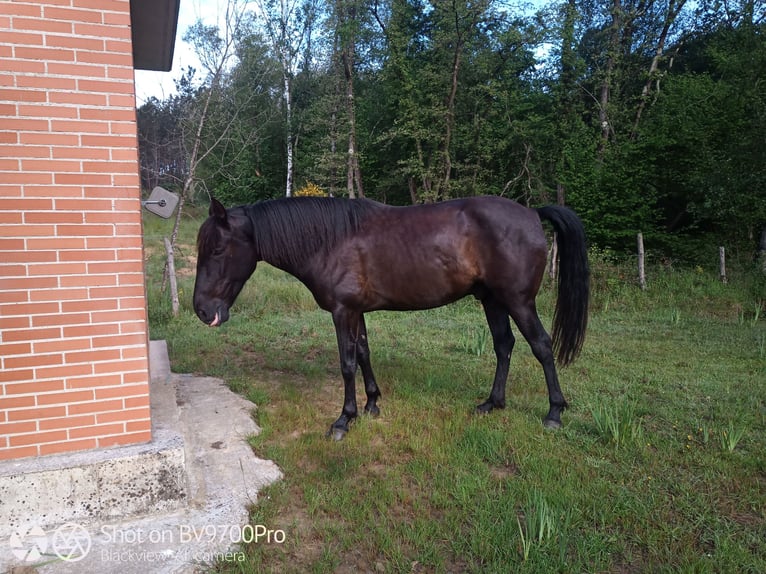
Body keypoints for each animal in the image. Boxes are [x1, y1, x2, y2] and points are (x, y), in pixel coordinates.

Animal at [195, 196, 592, 444]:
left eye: (217, 248)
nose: (201, 310)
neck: (330, 241)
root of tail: (531, 213)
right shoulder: (356, 311)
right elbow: (364, 354)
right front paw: (372, 404)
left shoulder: (343, 311)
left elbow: (347, 363)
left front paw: (344, 419)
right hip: (492, 300)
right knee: (503, 345)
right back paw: (492, 404)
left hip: (518, 301)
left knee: (541, 346)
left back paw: (554, 413)